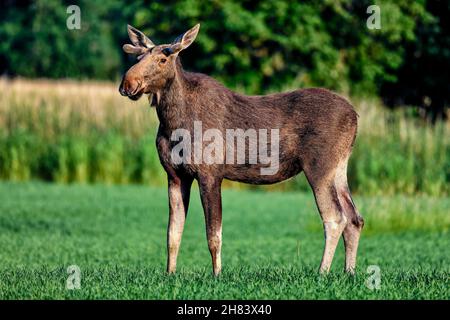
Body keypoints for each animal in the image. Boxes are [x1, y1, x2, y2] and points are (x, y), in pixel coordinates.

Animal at [118, 24, 364, 276]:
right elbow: (172, 234)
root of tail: (355, 116)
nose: (128, 83)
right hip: (339, 168)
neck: (173, 123)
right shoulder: (175, 175)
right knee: (355, 217)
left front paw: (217, 274)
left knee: (336, 218)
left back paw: (322, 272)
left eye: (163, 59)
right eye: (138, 57)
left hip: (319, 166)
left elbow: (213, 235)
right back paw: (349, 271)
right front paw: (170, 273)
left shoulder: (210, 173)